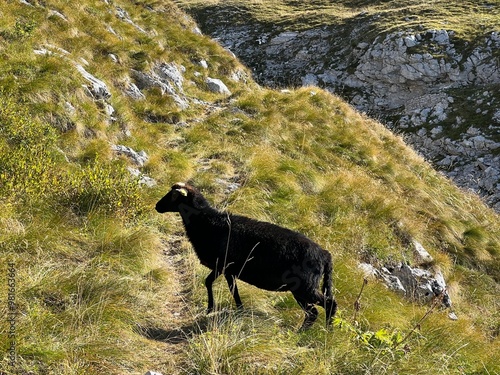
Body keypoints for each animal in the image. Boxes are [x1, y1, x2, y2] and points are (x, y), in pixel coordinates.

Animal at [155, 183, 336, 328]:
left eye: (173, 196)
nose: (157, 206)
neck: (207, 222)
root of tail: (325, 255)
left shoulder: (223, 266)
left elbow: (215, 284)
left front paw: (215, 308)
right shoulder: (227, 269)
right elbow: (225, 286)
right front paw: (232, 308)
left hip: (303, 286)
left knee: (326, 306)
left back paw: (321, 332)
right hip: (302, 288)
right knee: (316, 310)